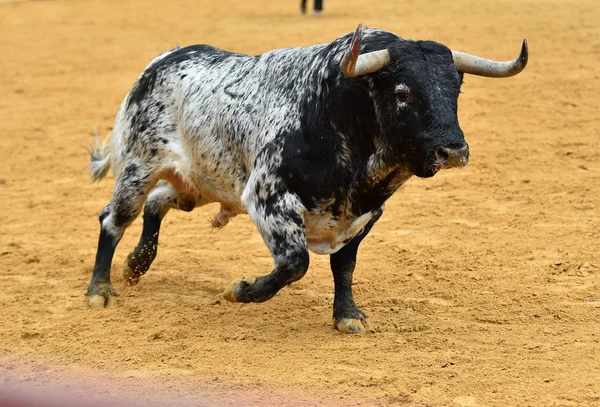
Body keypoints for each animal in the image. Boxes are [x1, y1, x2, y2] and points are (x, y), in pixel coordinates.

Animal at [86, 23, 528, 334]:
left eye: (456, 90)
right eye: (403, 92)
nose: (452, 151)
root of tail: (163, 60)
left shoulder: (364, 215)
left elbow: (344, 265)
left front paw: (347, 315)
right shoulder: (268, 198)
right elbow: (294, 262)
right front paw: (241, 290)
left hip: (198, 184)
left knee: (158, 203)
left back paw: (136, 265)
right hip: (137, 169)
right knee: (114, 219)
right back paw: (100, 290)